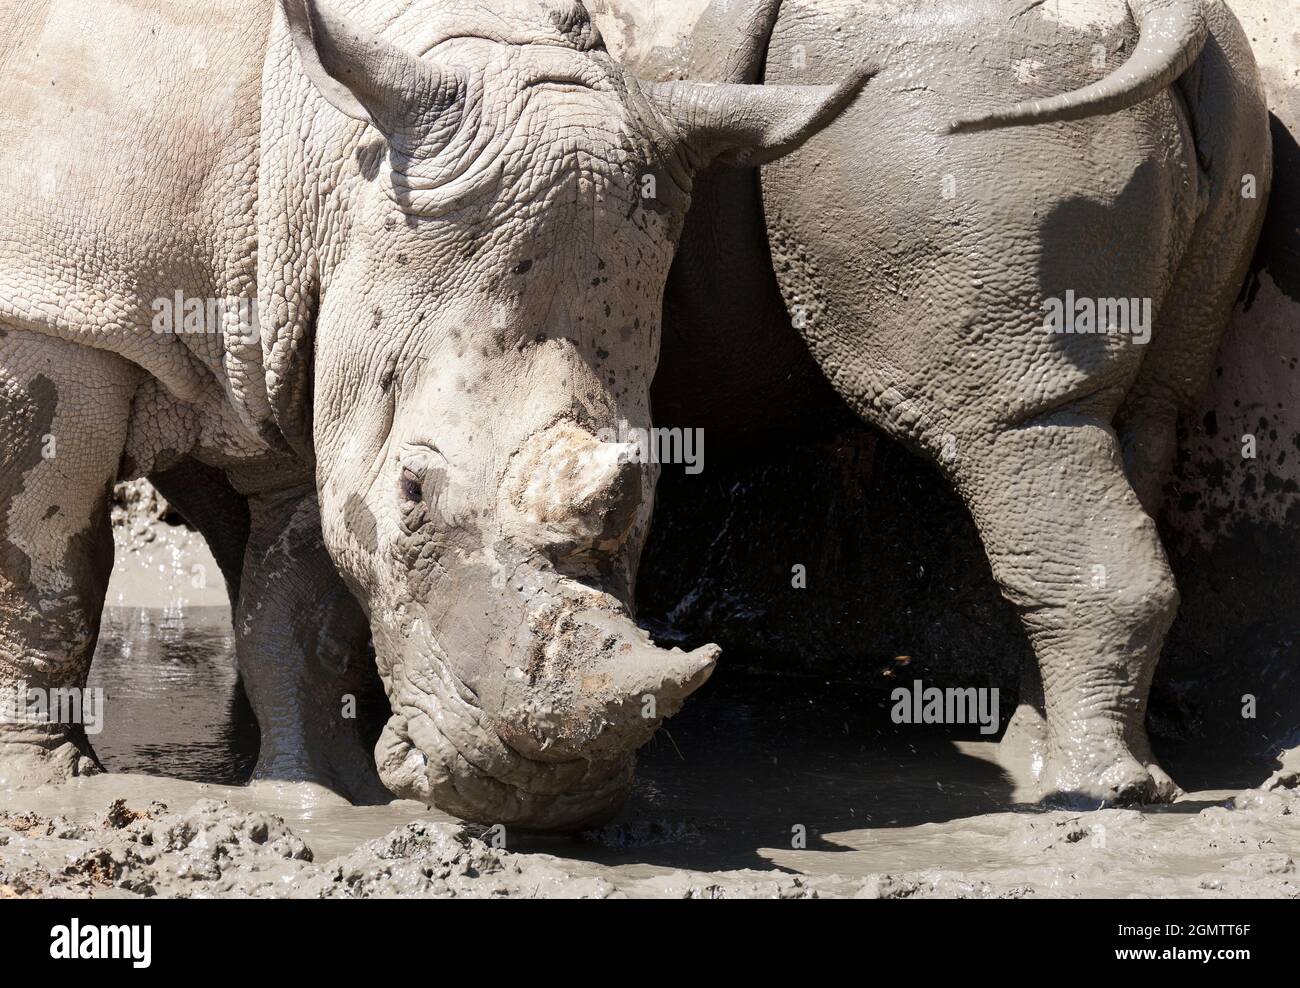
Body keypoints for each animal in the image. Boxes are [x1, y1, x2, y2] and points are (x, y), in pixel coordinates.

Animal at [2, 0, 873, 832]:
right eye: (414, 491)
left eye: (650, 482)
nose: (544, 794)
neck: (327, 148)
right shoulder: (55, 310)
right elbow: (45, 568)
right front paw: (43, 786)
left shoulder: (309, 342)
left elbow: (296, 597)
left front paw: (321, 799)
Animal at [655, 0, 1263, 806]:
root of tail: (1174, 14)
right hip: (1224, 120)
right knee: (1130, 425)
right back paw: (1066, 766)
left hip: (953, 110)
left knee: (1000, 434)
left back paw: (1094, 794)